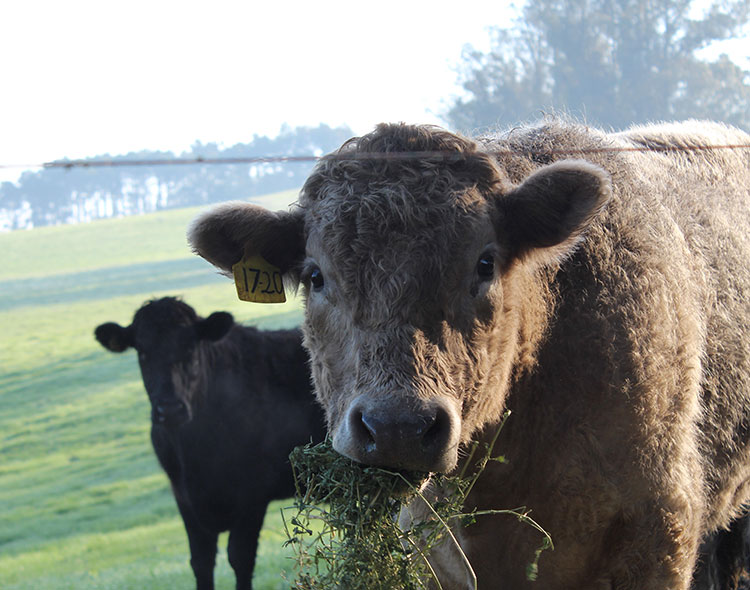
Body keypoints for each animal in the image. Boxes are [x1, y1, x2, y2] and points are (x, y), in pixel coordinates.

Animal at [95, 298, 328, 590]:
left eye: (190, 347)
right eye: (143, 353)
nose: (170, 409)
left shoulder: (252, 497)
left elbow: (240, 558)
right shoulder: (185, 500)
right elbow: (201, 563)